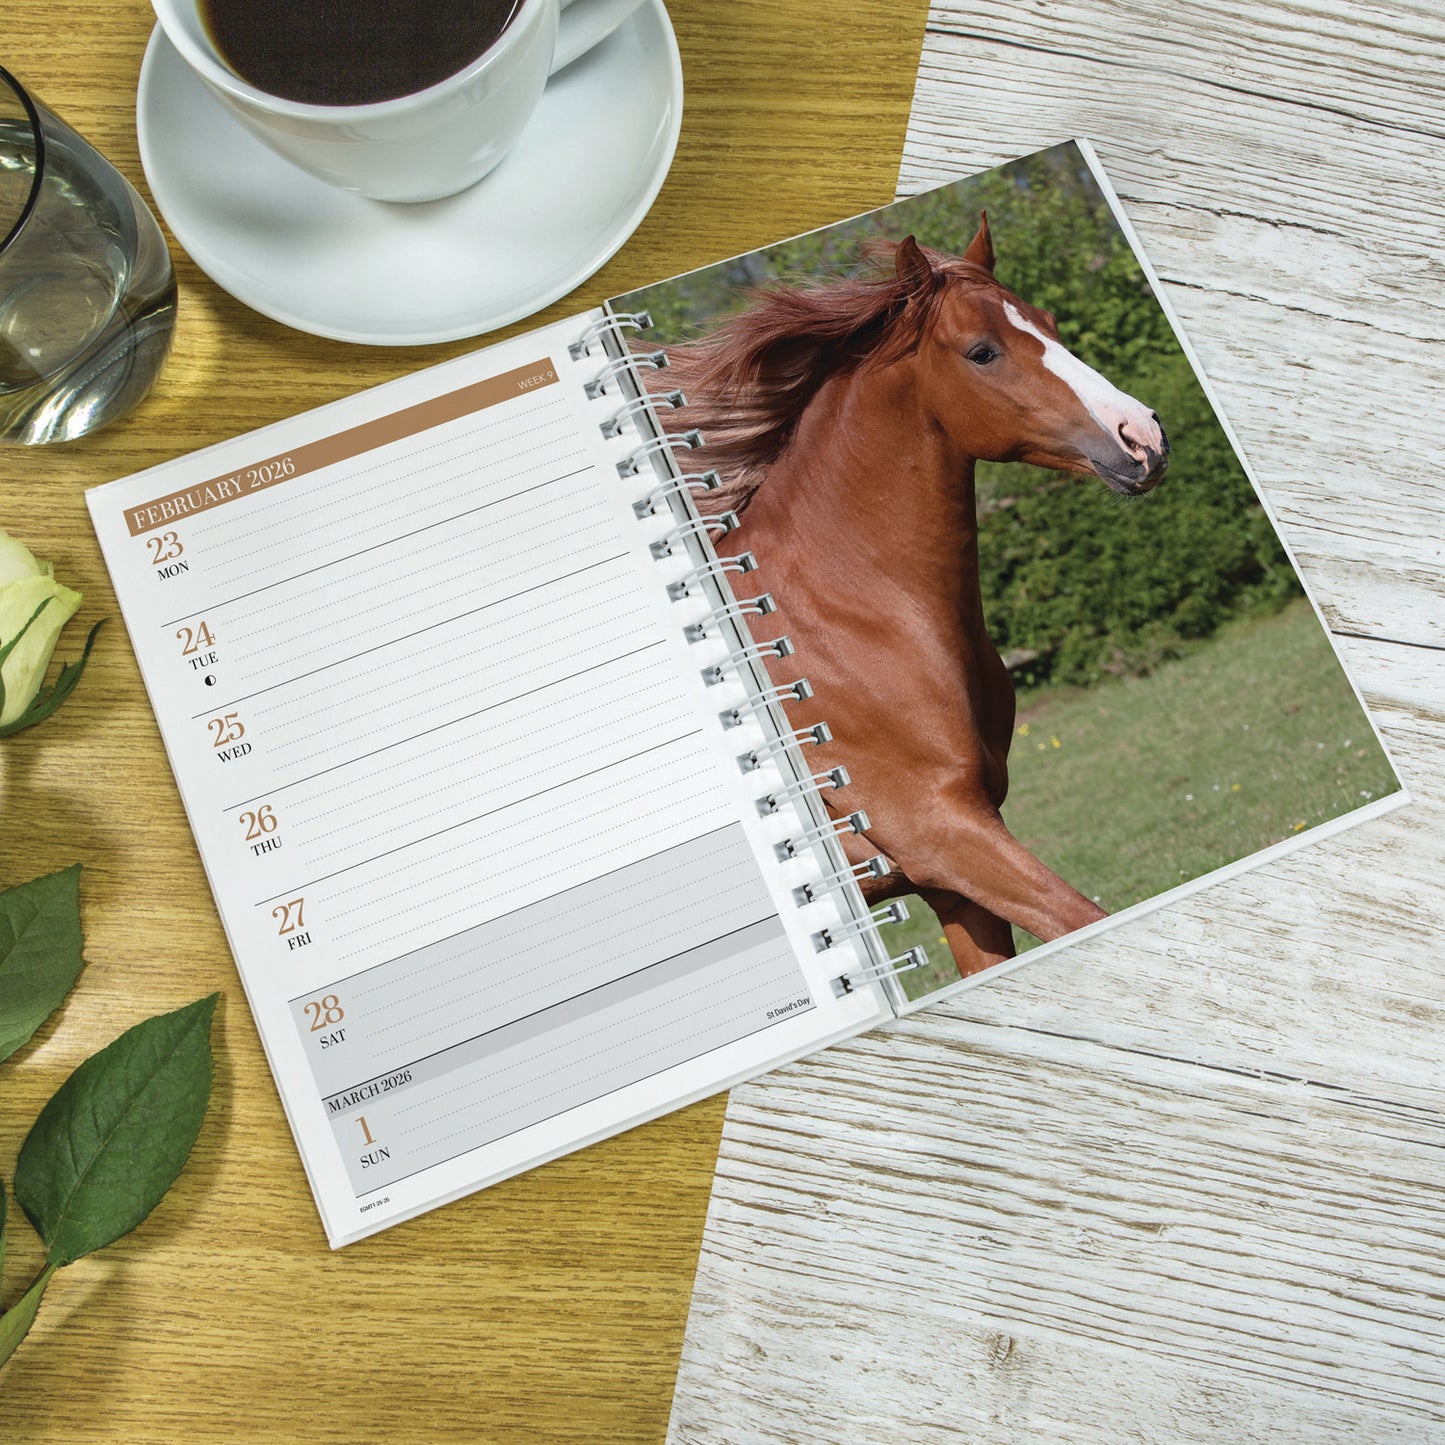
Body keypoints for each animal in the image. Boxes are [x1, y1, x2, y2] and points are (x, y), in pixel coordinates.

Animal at [649, 216, 1169, 979]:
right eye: (982, 351)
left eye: (1046, 322)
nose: (1144, 438)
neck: (850, 621)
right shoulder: (943, 835)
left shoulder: (952, 878)